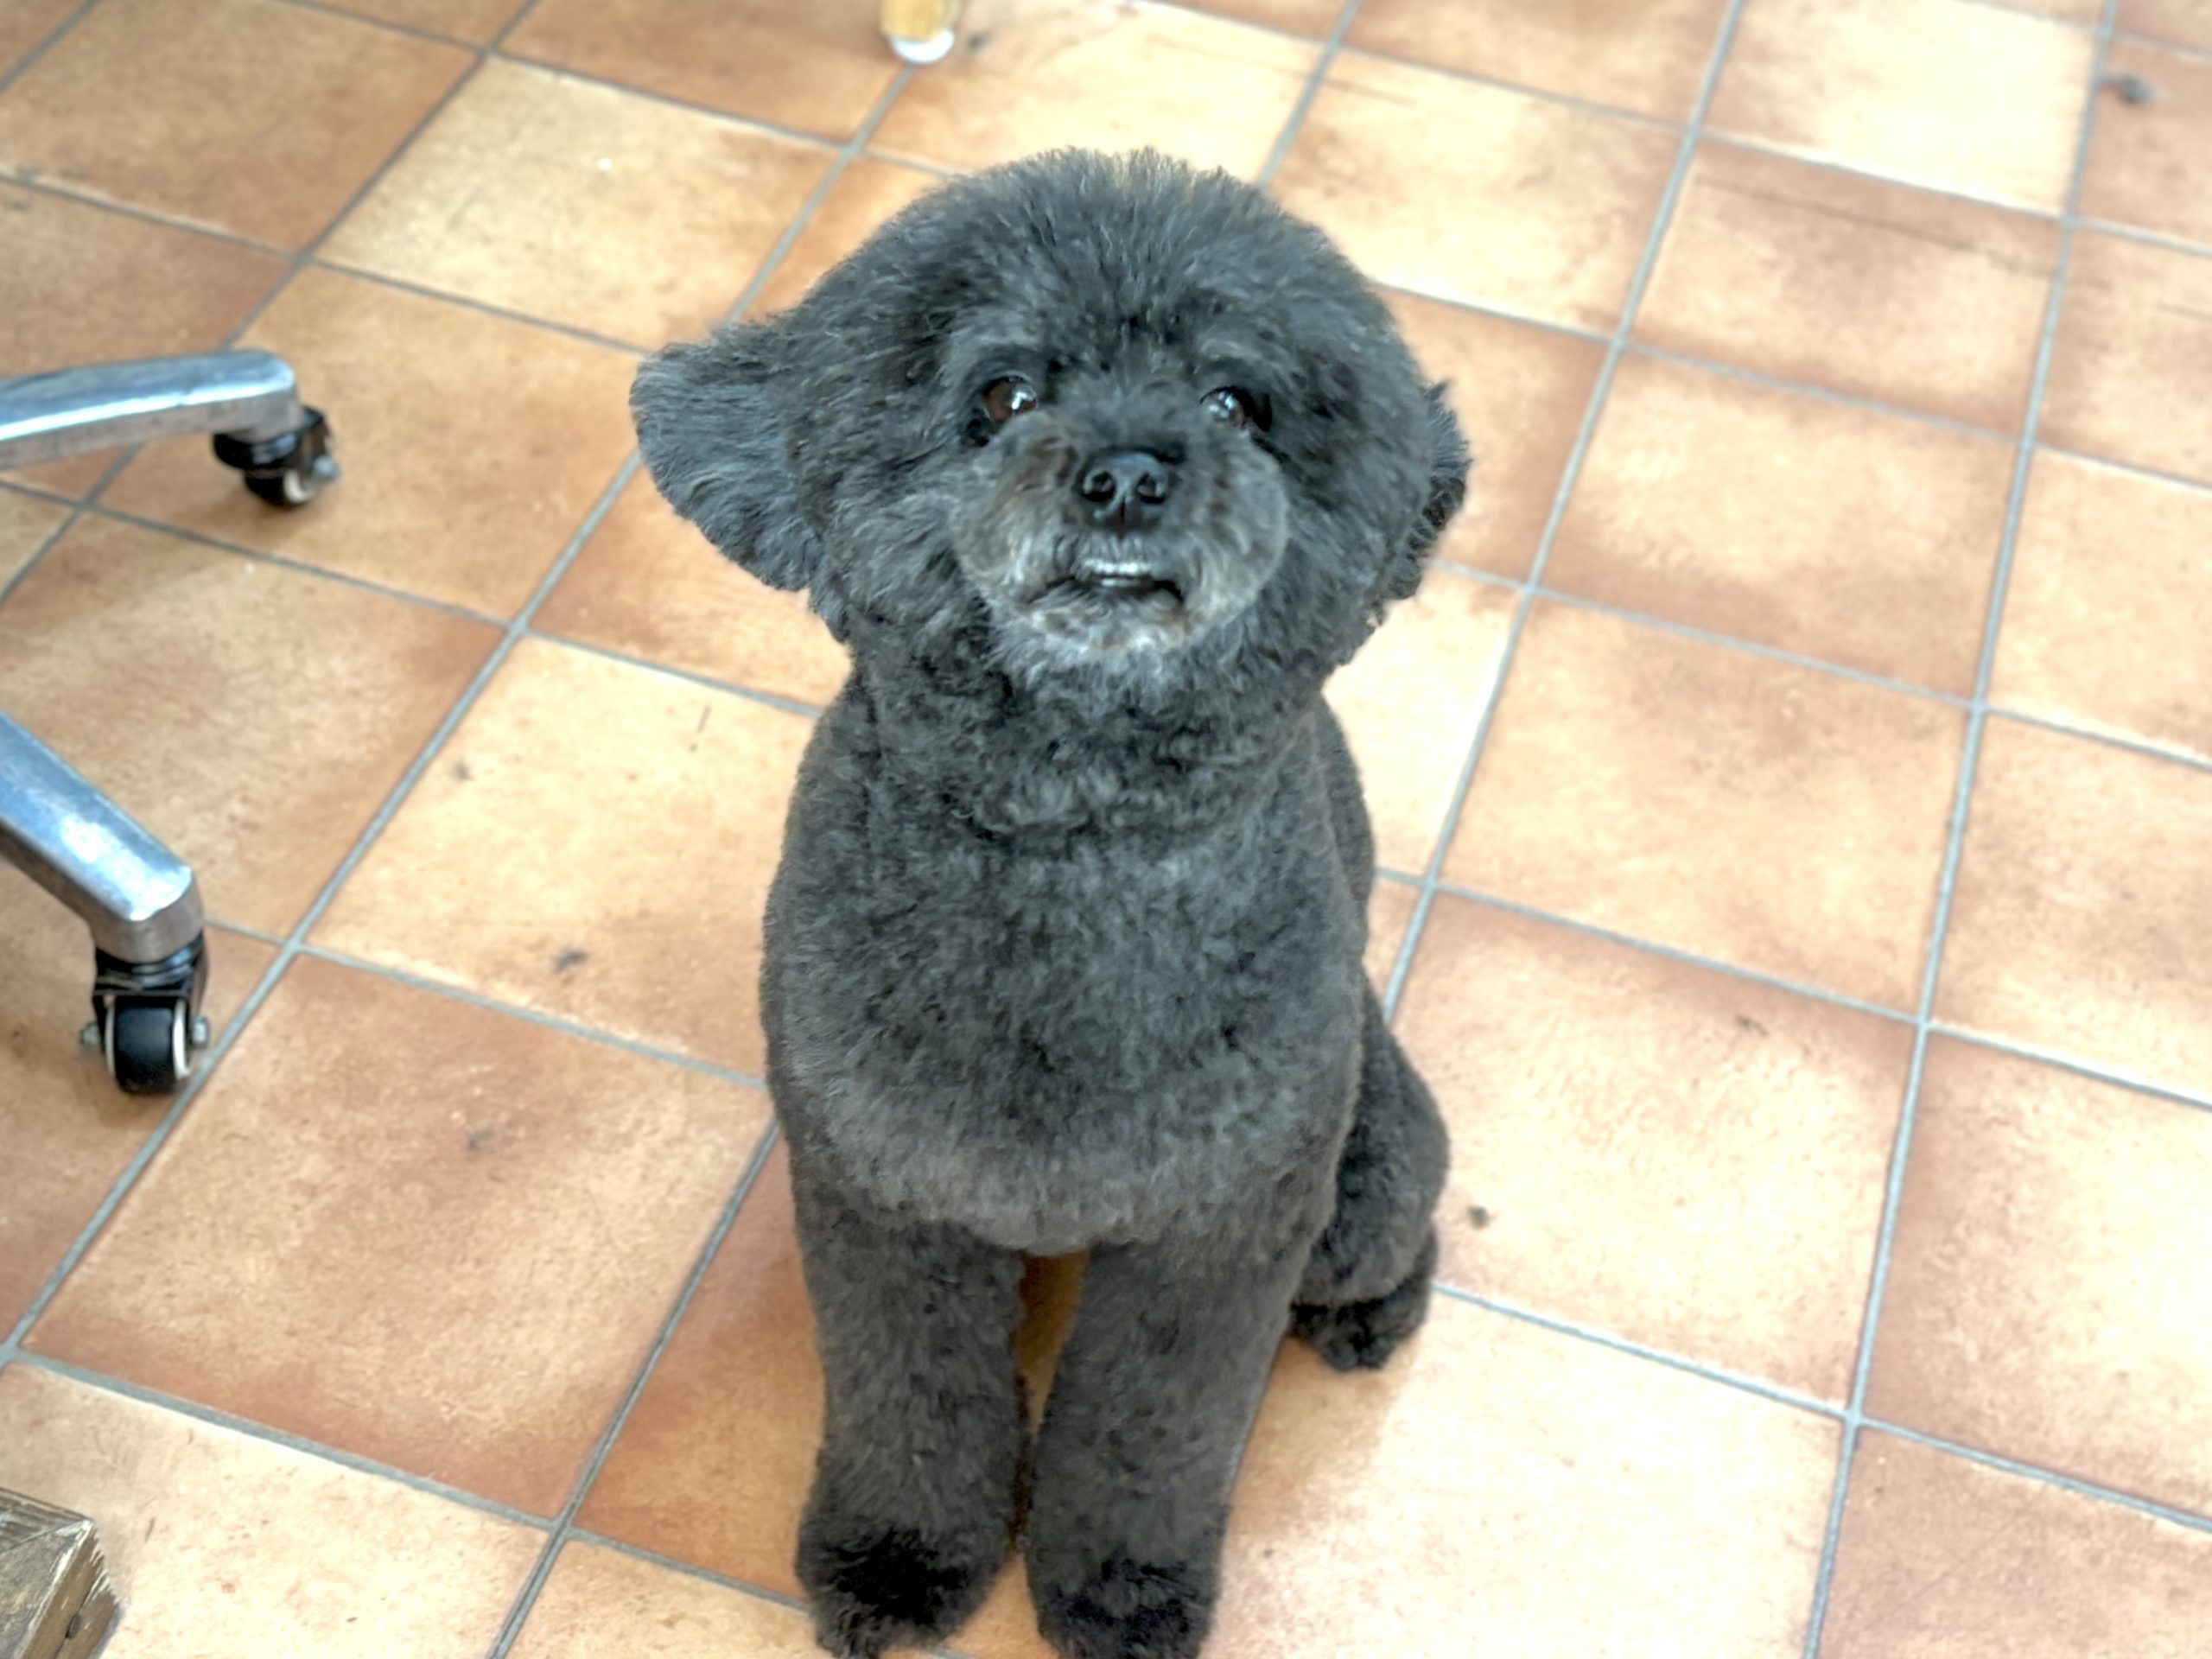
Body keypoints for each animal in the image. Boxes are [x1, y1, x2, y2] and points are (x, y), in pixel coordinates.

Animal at [633, 148, 1468, 1659]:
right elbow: (909, 1402)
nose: (1128, 474)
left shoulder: (1224, 1228)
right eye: (1003, 394)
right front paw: (899, 1562)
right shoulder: (883, 1197)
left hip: (1361, 1180)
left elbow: (1148, 1438)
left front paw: (1121, 1595)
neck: (1073, 834)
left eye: (1236, 402)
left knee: (1391, 1234)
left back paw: (1372, 1319)